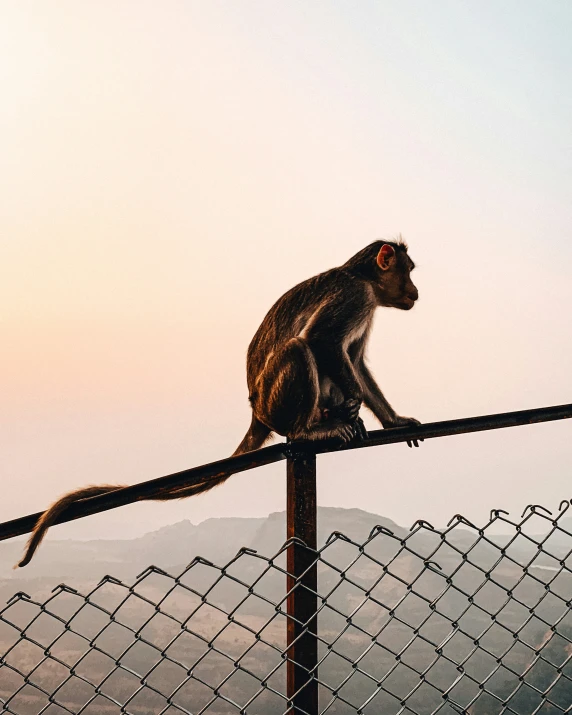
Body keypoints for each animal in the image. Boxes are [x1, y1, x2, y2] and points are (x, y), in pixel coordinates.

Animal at [16, 241, 420, 572]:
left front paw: (394, 420)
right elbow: (324, 341)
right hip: (276, 401)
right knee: (298, 347)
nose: (416, 290)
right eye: (409, 269)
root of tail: (257, 412)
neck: (362, 276)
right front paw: (355, 406)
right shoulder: (356, 297)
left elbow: (355, 361)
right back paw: (309, 430)